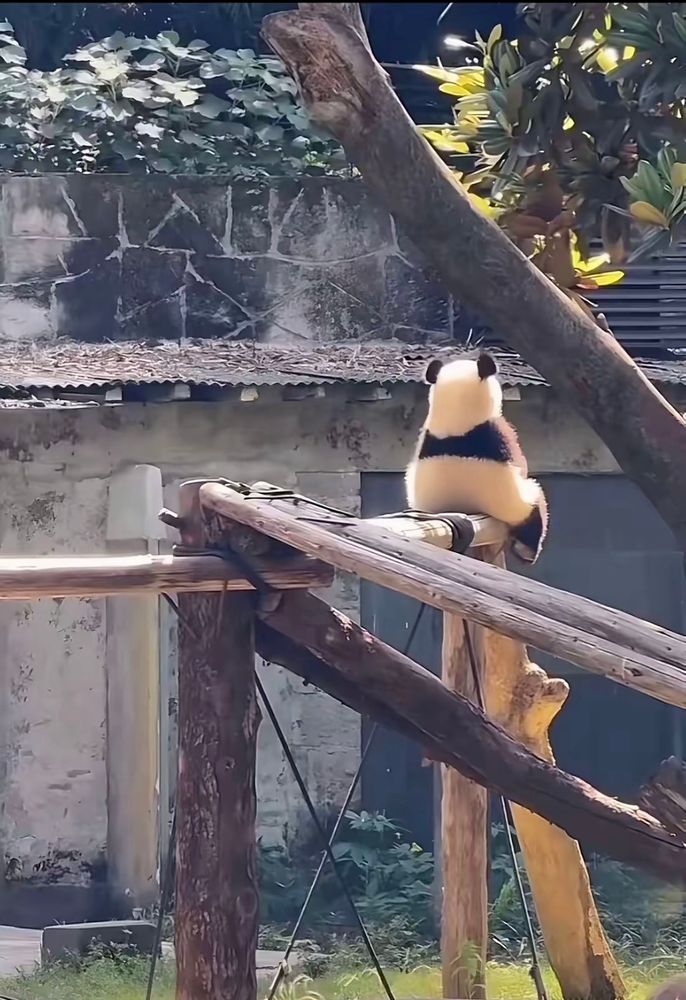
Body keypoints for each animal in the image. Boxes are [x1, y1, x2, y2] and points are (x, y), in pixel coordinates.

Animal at [405, 350, 548, 564]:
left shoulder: (425, 438)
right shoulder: (498, 434)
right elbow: (520, 464)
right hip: (512, 502)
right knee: (534, 513)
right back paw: (527, 551)